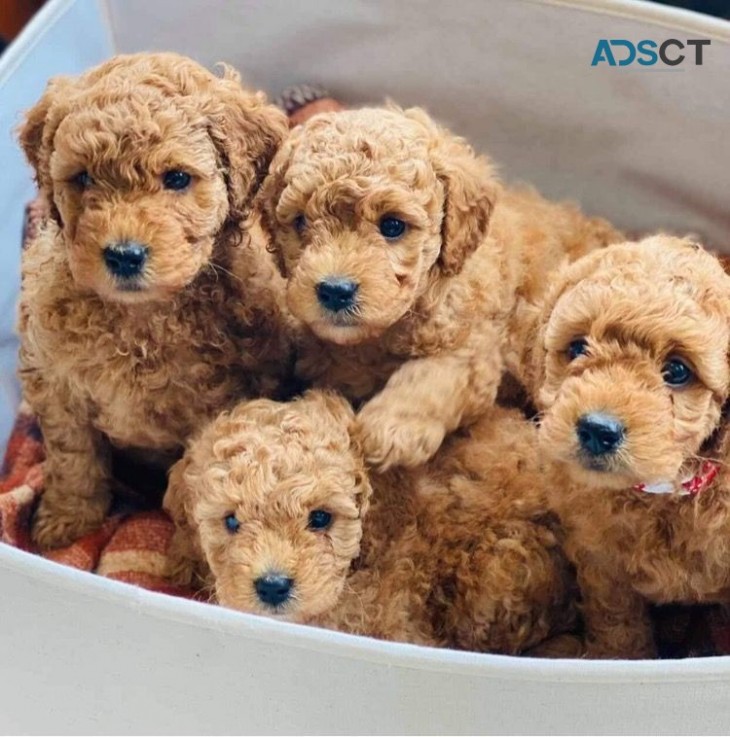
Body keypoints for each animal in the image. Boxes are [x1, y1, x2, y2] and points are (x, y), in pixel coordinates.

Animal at [17, 51, 290, 548]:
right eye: (83, 177)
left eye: (177, 178)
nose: (124, 255)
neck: (140, 318)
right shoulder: (54, 381)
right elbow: (72, 457)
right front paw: (67, 520)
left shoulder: (215, 405)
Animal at [258, 106, 616, 468]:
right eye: (301, 221)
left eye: (392, 225)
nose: (335, 290)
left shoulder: (474, 347)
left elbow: (433, 375)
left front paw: (392, 426)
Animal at [520, 237, 730, 660]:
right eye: (578, 347)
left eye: (677, 371)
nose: (598, 430)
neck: (664, 492)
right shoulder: (601, 564)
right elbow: (617, 625)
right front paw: (618, 658)